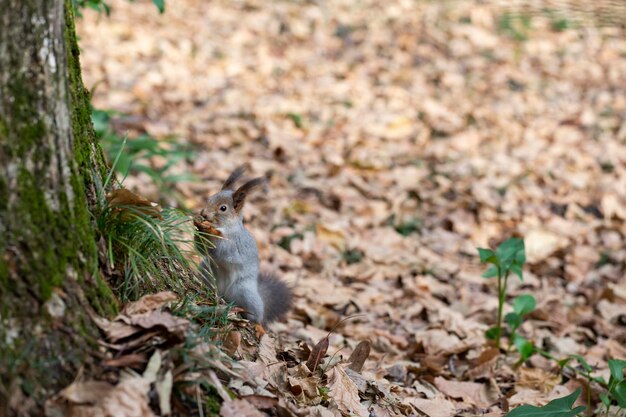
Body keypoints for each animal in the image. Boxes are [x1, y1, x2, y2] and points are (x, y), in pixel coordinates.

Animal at [194, 166, 292, 324]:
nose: (204, 214)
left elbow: (221, 250)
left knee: (256, 315)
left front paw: (208, 231)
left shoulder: (234, 244)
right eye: (209, 198)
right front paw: (197, 225)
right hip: (207, 270)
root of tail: (224, 294)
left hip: (244, 291)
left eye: (223, 208)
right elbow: (201, 249)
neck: (224, 227)